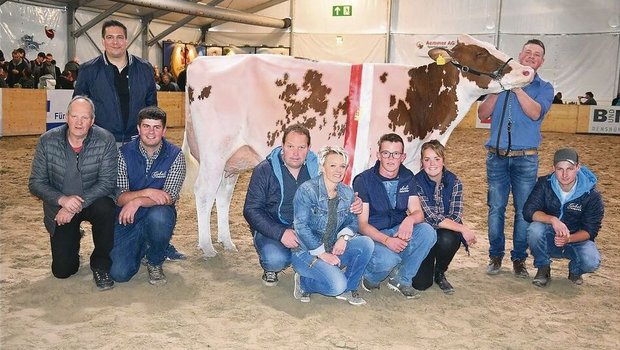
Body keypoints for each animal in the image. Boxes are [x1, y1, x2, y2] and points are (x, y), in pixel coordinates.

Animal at [183, 33, 532, 258]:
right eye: (481, 53)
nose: (527, 70)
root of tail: (201, 63)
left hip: (234, 159)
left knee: (223, 195)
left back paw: (226, 242)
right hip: (215, 151)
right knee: (204, 192)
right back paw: (207, 247)